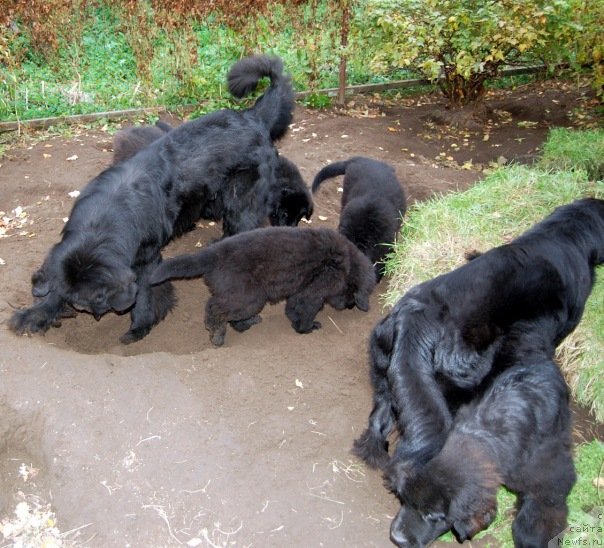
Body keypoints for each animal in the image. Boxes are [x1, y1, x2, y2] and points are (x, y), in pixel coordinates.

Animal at [150, 227, 378, 346]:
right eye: (350, 298)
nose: (348, 307)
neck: (349, 263)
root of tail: (213, 253)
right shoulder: (313, 293)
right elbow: (306, 311)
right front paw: (306, 329)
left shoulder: (301, 291)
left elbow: (293, 308)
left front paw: (295, 324)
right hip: (250, 297)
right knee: (215, 307)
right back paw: (217, 334)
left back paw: (246, 324)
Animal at [386, 358, 576, 544]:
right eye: (404, 499)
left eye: (432, 516)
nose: (396, 537)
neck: (484, 438)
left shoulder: (543, 470)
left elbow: (544, 502)